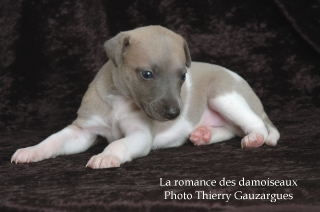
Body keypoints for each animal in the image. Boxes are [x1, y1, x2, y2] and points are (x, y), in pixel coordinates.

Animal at [10, 25, 280, 168]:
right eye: (147, 74)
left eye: (183, 75)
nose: (174, 114)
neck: (119, 101)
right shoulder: (83, 131)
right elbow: (54, 140)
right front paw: (31, 150)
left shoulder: (140, 135)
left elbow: (118, 143)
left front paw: (106, 155)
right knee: (232, 129)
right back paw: (203, 134)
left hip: (224, 96)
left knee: (255, 125)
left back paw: (254, 138)